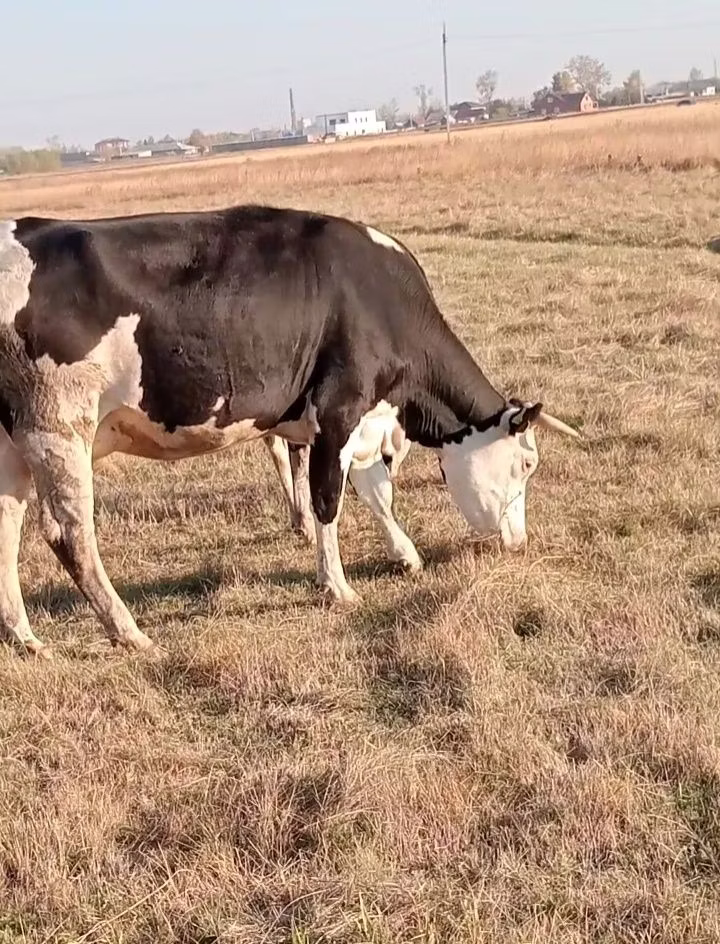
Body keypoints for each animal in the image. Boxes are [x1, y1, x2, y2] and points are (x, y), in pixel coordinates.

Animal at [0, 206, 579, 659]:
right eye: (526, 463)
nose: (519, 543)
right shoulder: (339, 411)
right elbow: (328, 501)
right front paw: (337, 586)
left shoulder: (363, 423)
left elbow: (377, 494)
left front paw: (405, 554)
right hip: (59, 427)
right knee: (70, 535)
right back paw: (129, 632)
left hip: (13, 447)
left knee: (7, 530)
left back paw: (25, 637)